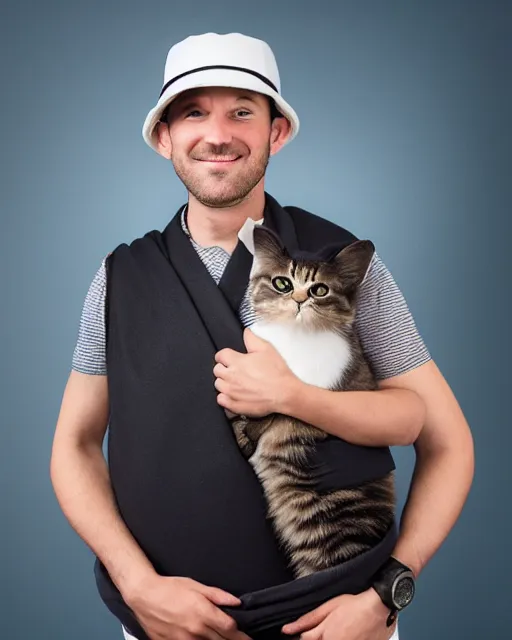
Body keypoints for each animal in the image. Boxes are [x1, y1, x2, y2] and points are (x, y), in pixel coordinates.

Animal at [232, 228, 396, 584]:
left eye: (319, 290)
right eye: (283, 283)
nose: (298, 300)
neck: (293, 338)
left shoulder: (319, 381)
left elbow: (276, 412)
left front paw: (251, 431)